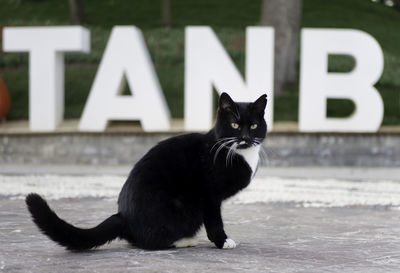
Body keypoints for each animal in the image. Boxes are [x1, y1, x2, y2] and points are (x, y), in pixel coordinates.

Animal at [26, 92, 268, 250]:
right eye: (235, 125)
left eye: (254, 125)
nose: (245, 137)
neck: (238, 153)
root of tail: (123, 216)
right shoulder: (209, 196)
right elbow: (215, 221)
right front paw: (223, 241)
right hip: (181, 207)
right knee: (151, 241)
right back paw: (183, 240)